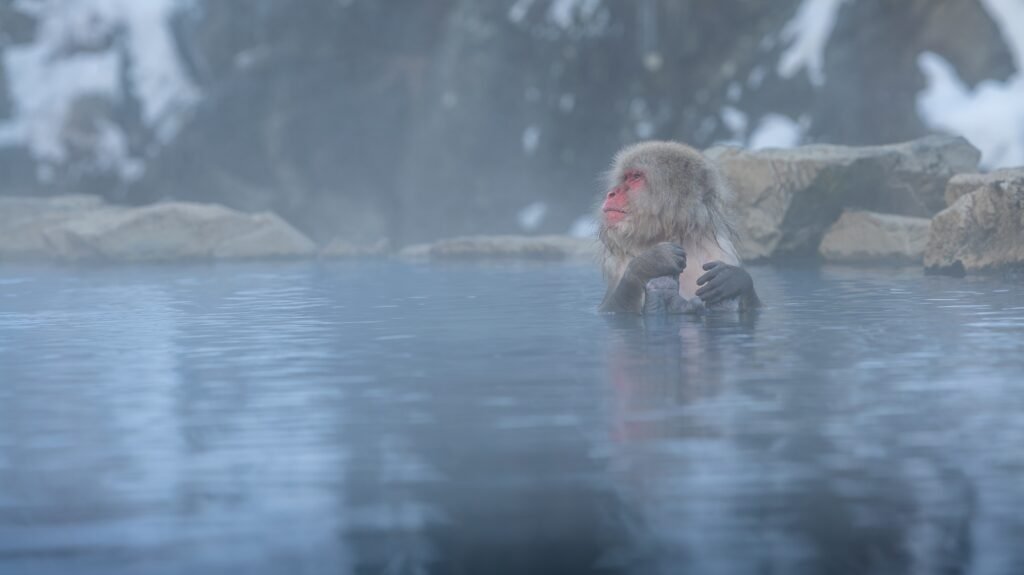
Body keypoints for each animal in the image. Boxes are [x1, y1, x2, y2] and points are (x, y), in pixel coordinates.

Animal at [598, 142, 757, 313]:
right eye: (626, 177)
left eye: (636, 177)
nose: (611, 193)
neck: (673, 235)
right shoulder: (619, 267)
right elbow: (609, 310)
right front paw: (649, 262)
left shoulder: (722, 254)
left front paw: (735, 278)